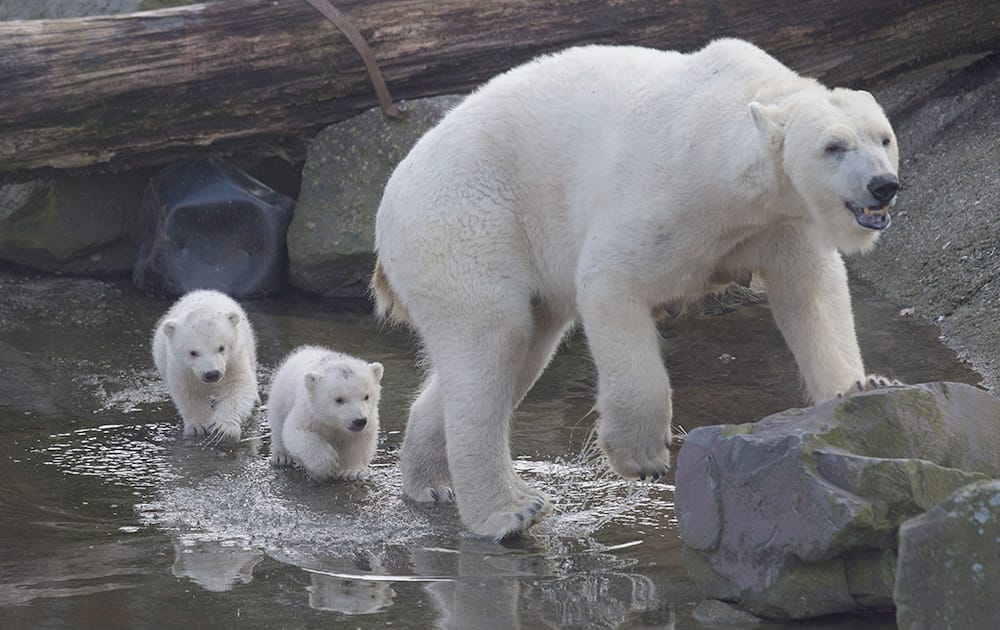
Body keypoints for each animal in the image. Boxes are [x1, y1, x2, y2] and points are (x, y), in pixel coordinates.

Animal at [372, 39, 904, 540]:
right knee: (495, 336)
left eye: (884, 137)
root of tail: (390, 201)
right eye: (833, 146)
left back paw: (429, 481)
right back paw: (510, 510)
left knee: (520, 349)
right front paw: (642, 457)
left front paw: (864, 384)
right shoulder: (671, 193)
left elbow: (811, 291)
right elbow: (610, 280)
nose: (883, 185)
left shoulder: (780, 221)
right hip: (467, 223)